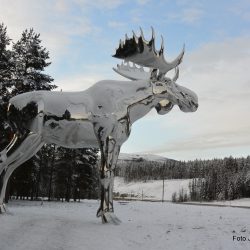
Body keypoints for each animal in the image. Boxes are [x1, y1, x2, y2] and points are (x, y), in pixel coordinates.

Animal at [0, 28, 199, 224]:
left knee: (10, 166)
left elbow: (112, 174)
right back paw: (2, 207)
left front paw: (108, 212)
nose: (194, 100)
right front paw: (107, 215)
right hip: (26, 134)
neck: (129, 107)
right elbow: (104, 172)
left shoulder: (118, 141)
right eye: (168, 82)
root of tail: (9, 105)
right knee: (4, 159)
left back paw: (5, 207)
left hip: (36, 141)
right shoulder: (104, 134)